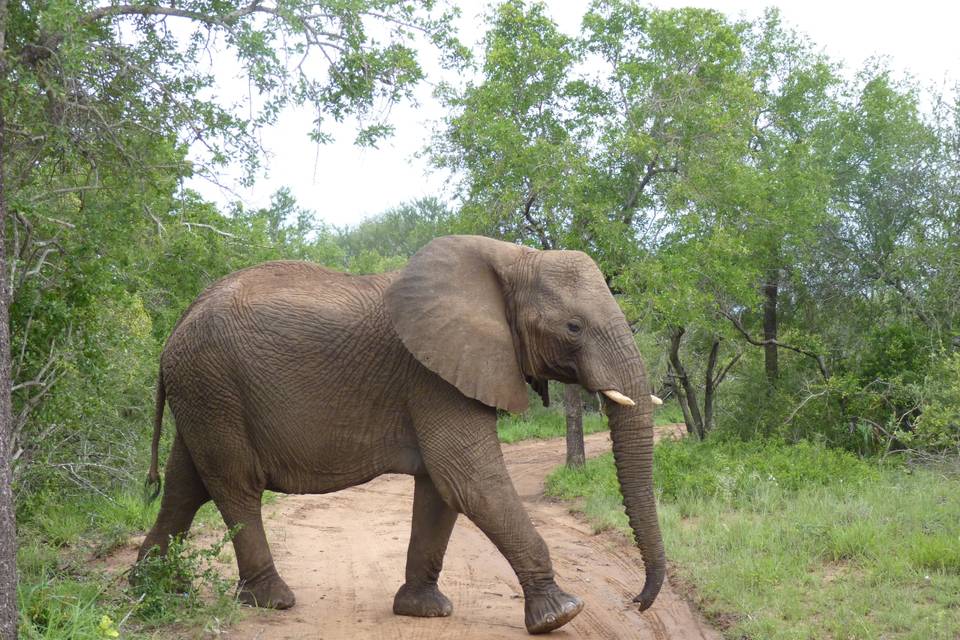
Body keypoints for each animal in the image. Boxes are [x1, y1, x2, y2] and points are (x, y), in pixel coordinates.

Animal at [135, 235, 664, 636]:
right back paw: (272, 601)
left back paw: (154, 589)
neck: (511, 258)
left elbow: (442, 490)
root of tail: (175, 328)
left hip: (202, 393)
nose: (636, 602)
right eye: (573, 327)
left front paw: (423, 610)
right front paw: (561, 614)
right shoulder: (431, 375)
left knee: (185, 484)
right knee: (235, 486)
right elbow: (469, 479)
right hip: (213, 385)